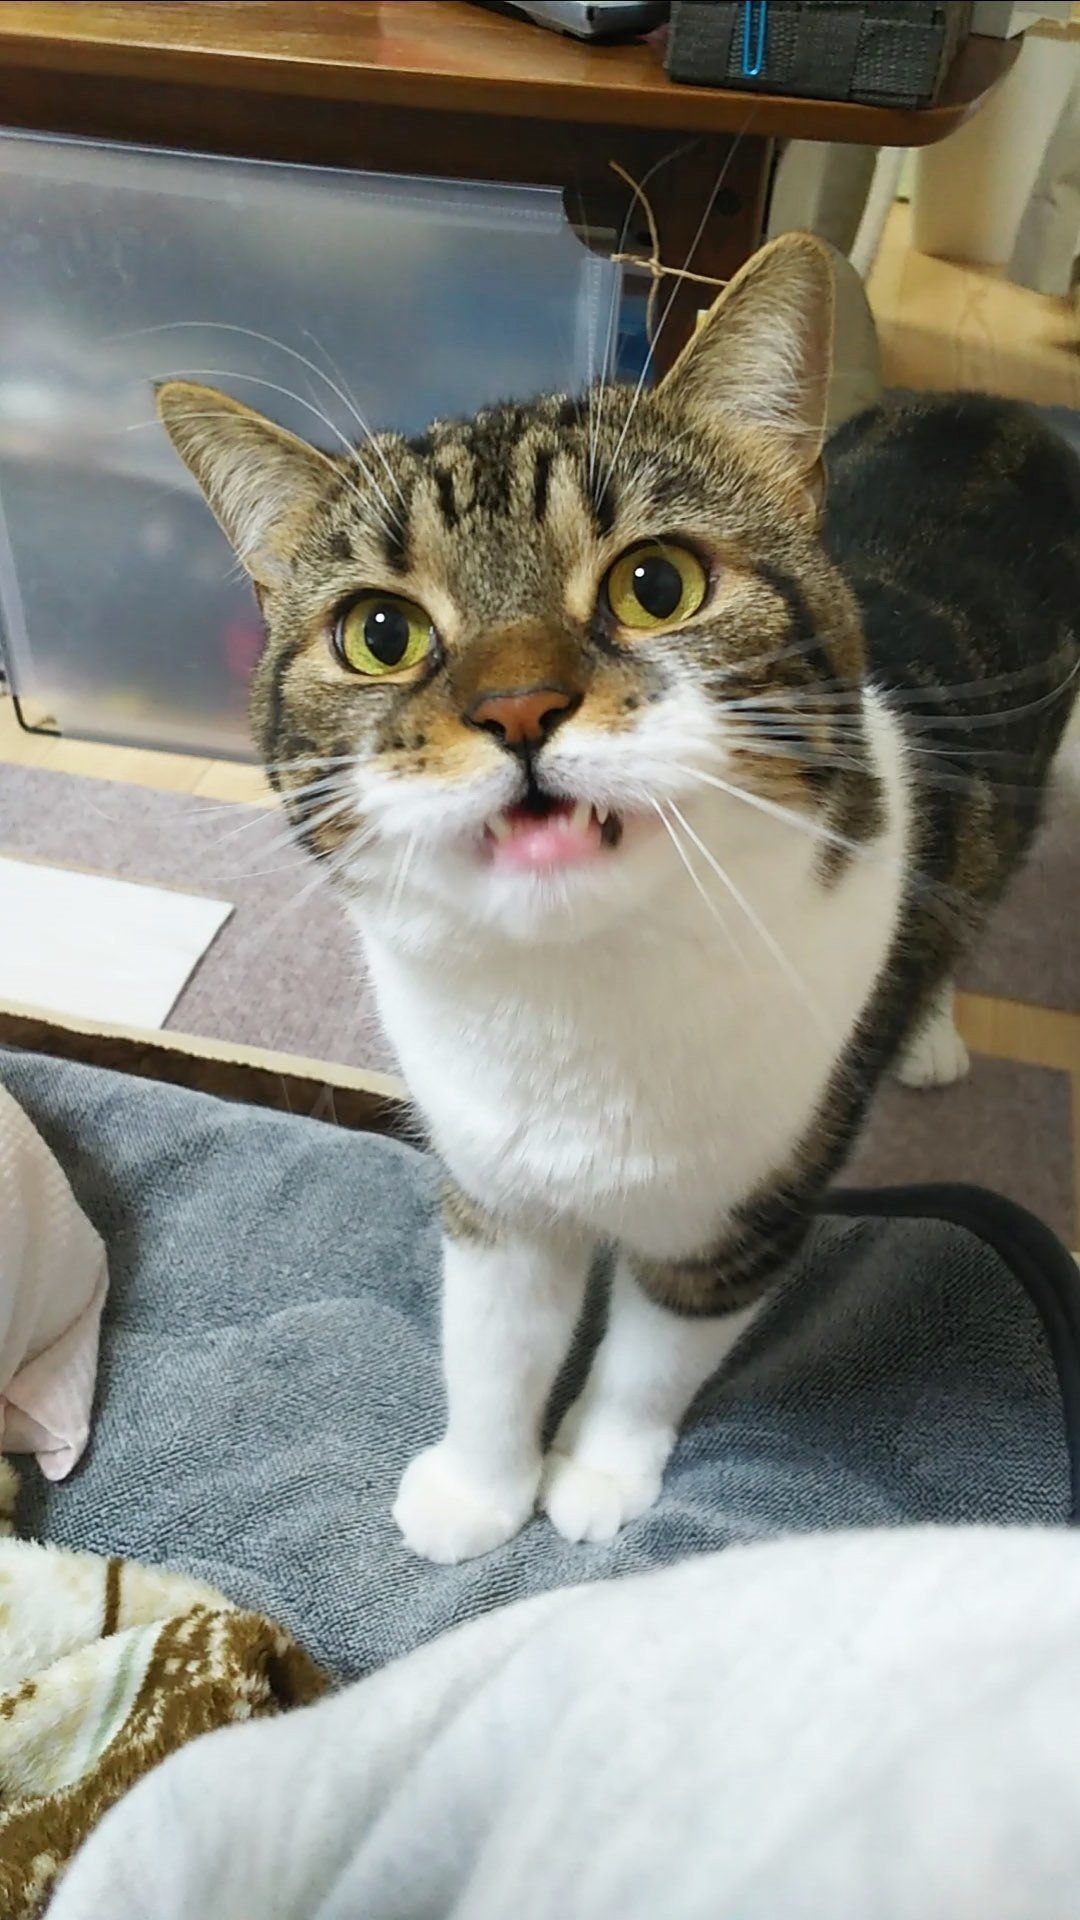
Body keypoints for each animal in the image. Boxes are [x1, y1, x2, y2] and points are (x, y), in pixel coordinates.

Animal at [157, 233, 1080, 1564]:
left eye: (657, 583)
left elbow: (657, 1352)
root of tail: (992, 406)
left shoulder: (750, 1200)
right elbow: (495, 1342)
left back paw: (934, 1032)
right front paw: (480, 1488)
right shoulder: (492, 1182)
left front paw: (597, 1475)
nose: (518, 706)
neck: (580, 990)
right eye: (381, 632)